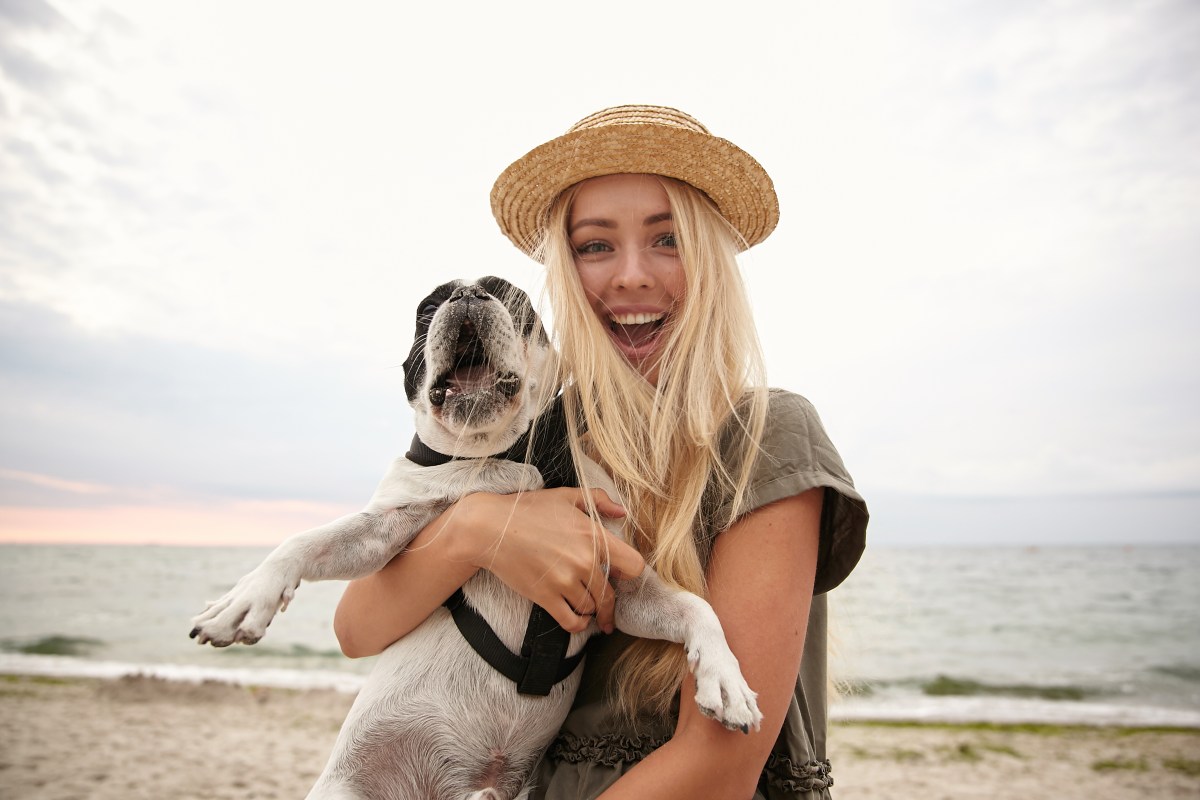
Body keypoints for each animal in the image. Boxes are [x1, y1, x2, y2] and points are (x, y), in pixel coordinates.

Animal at [192, 280, 763, 800]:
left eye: (515, 300)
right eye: (426, 307)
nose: (466, 295)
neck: (496, 458)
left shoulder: (622, 588)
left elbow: (695, 609)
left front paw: (726, 680)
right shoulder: (385, 528)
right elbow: (306, 542)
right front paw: (242, 601)